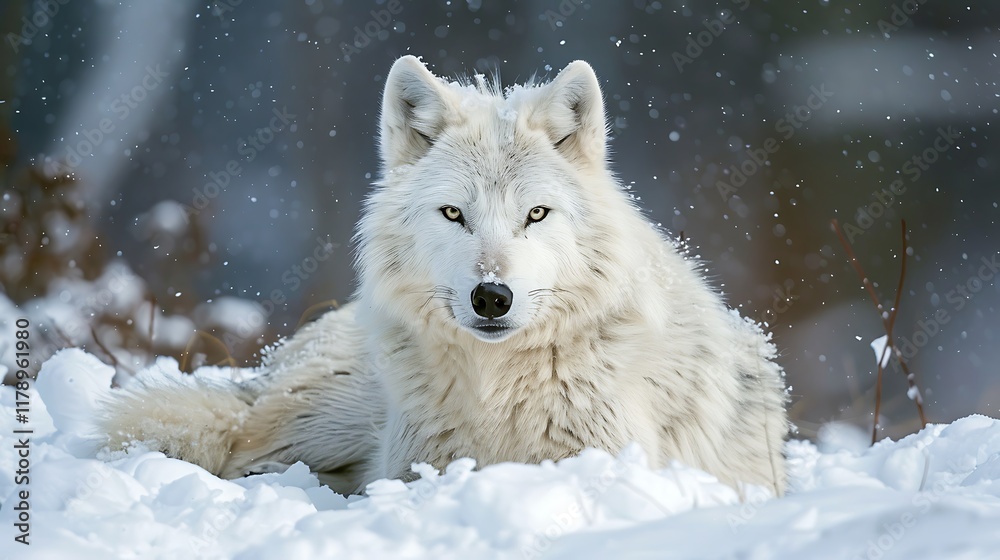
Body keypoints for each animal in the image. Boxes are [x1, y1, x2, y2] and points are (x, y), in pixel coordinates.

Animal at [99, 56, 789, 495]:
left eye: (536, 214)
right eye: (455, 213)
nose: (492, 297)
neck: (500, 390)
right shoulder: (412, 467)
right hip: (327, 415)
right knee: (238, 446)